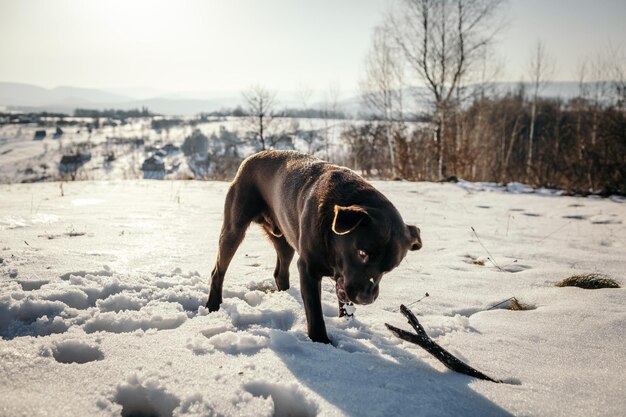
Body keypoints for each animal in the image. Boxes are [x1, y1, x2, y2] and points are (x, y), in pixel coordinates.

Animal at [207, 150, 422, 342]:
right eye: (362, 253)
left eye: (390, 268)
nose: (365, 299)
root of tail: (251, 157)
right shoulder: (308, 268)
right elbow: (315, 312)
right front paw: (322, 342)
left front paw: (347, 325)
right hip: (234, 229)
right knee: (218, 271)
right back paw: (212, 305)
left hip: (285, 238)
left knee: (280, 273)